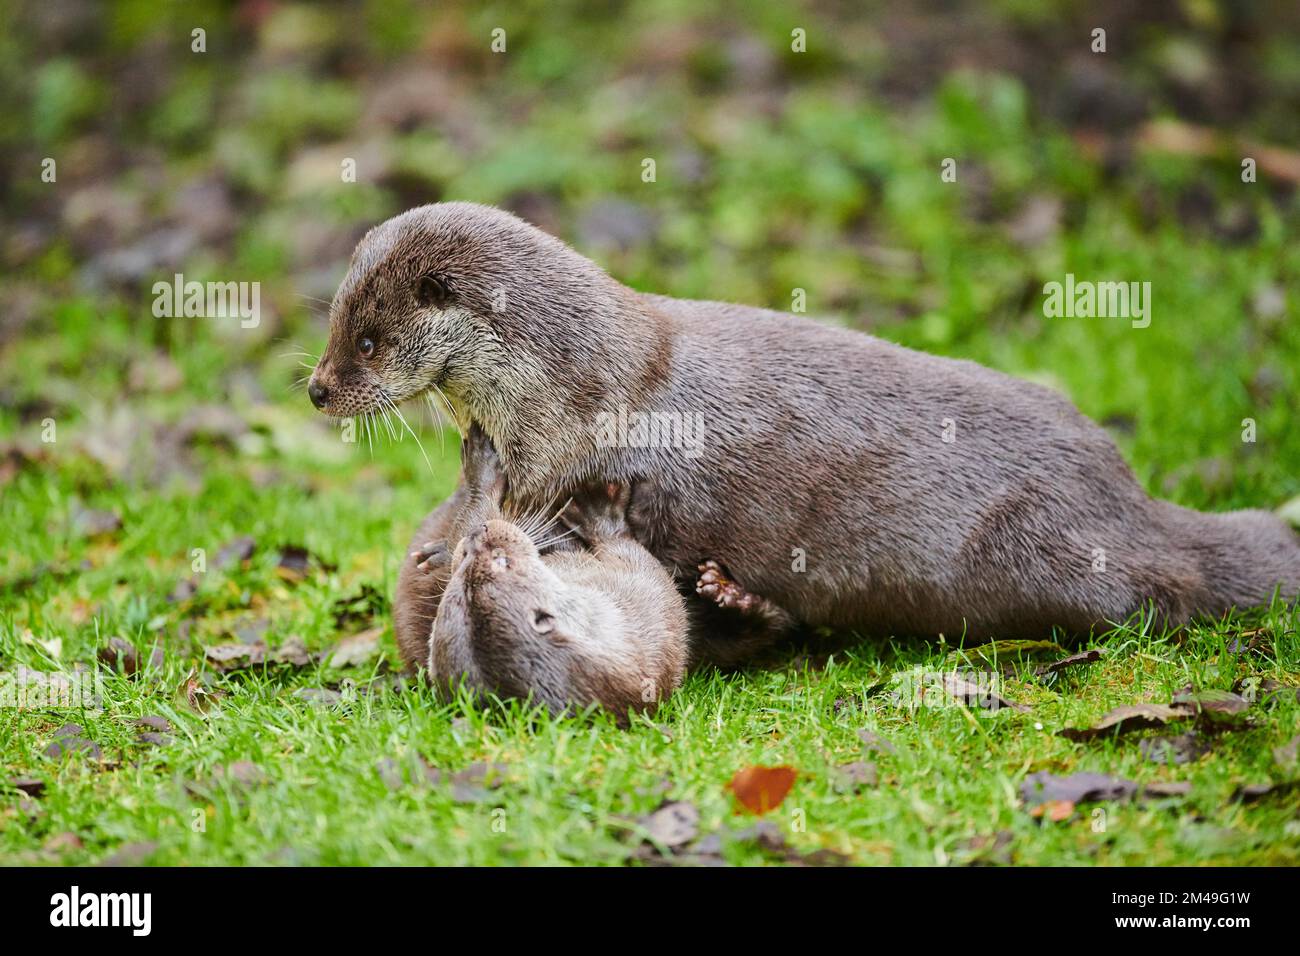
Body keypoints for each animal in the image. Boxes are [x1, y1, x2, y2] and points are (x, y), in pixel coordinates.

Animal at [311, 202, 1300, 677]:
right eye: (333, 324)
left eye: (369, 341)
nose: (319, 388)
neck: (578, 383)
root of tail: (1129, 501)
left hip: (1048, 557)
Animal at [424, 424, 687, 713]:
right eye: (501, 560)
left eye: (463, 562)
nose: (476, 534)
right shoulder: (639, 606)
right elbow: (639, 563)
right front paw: (600, 512)